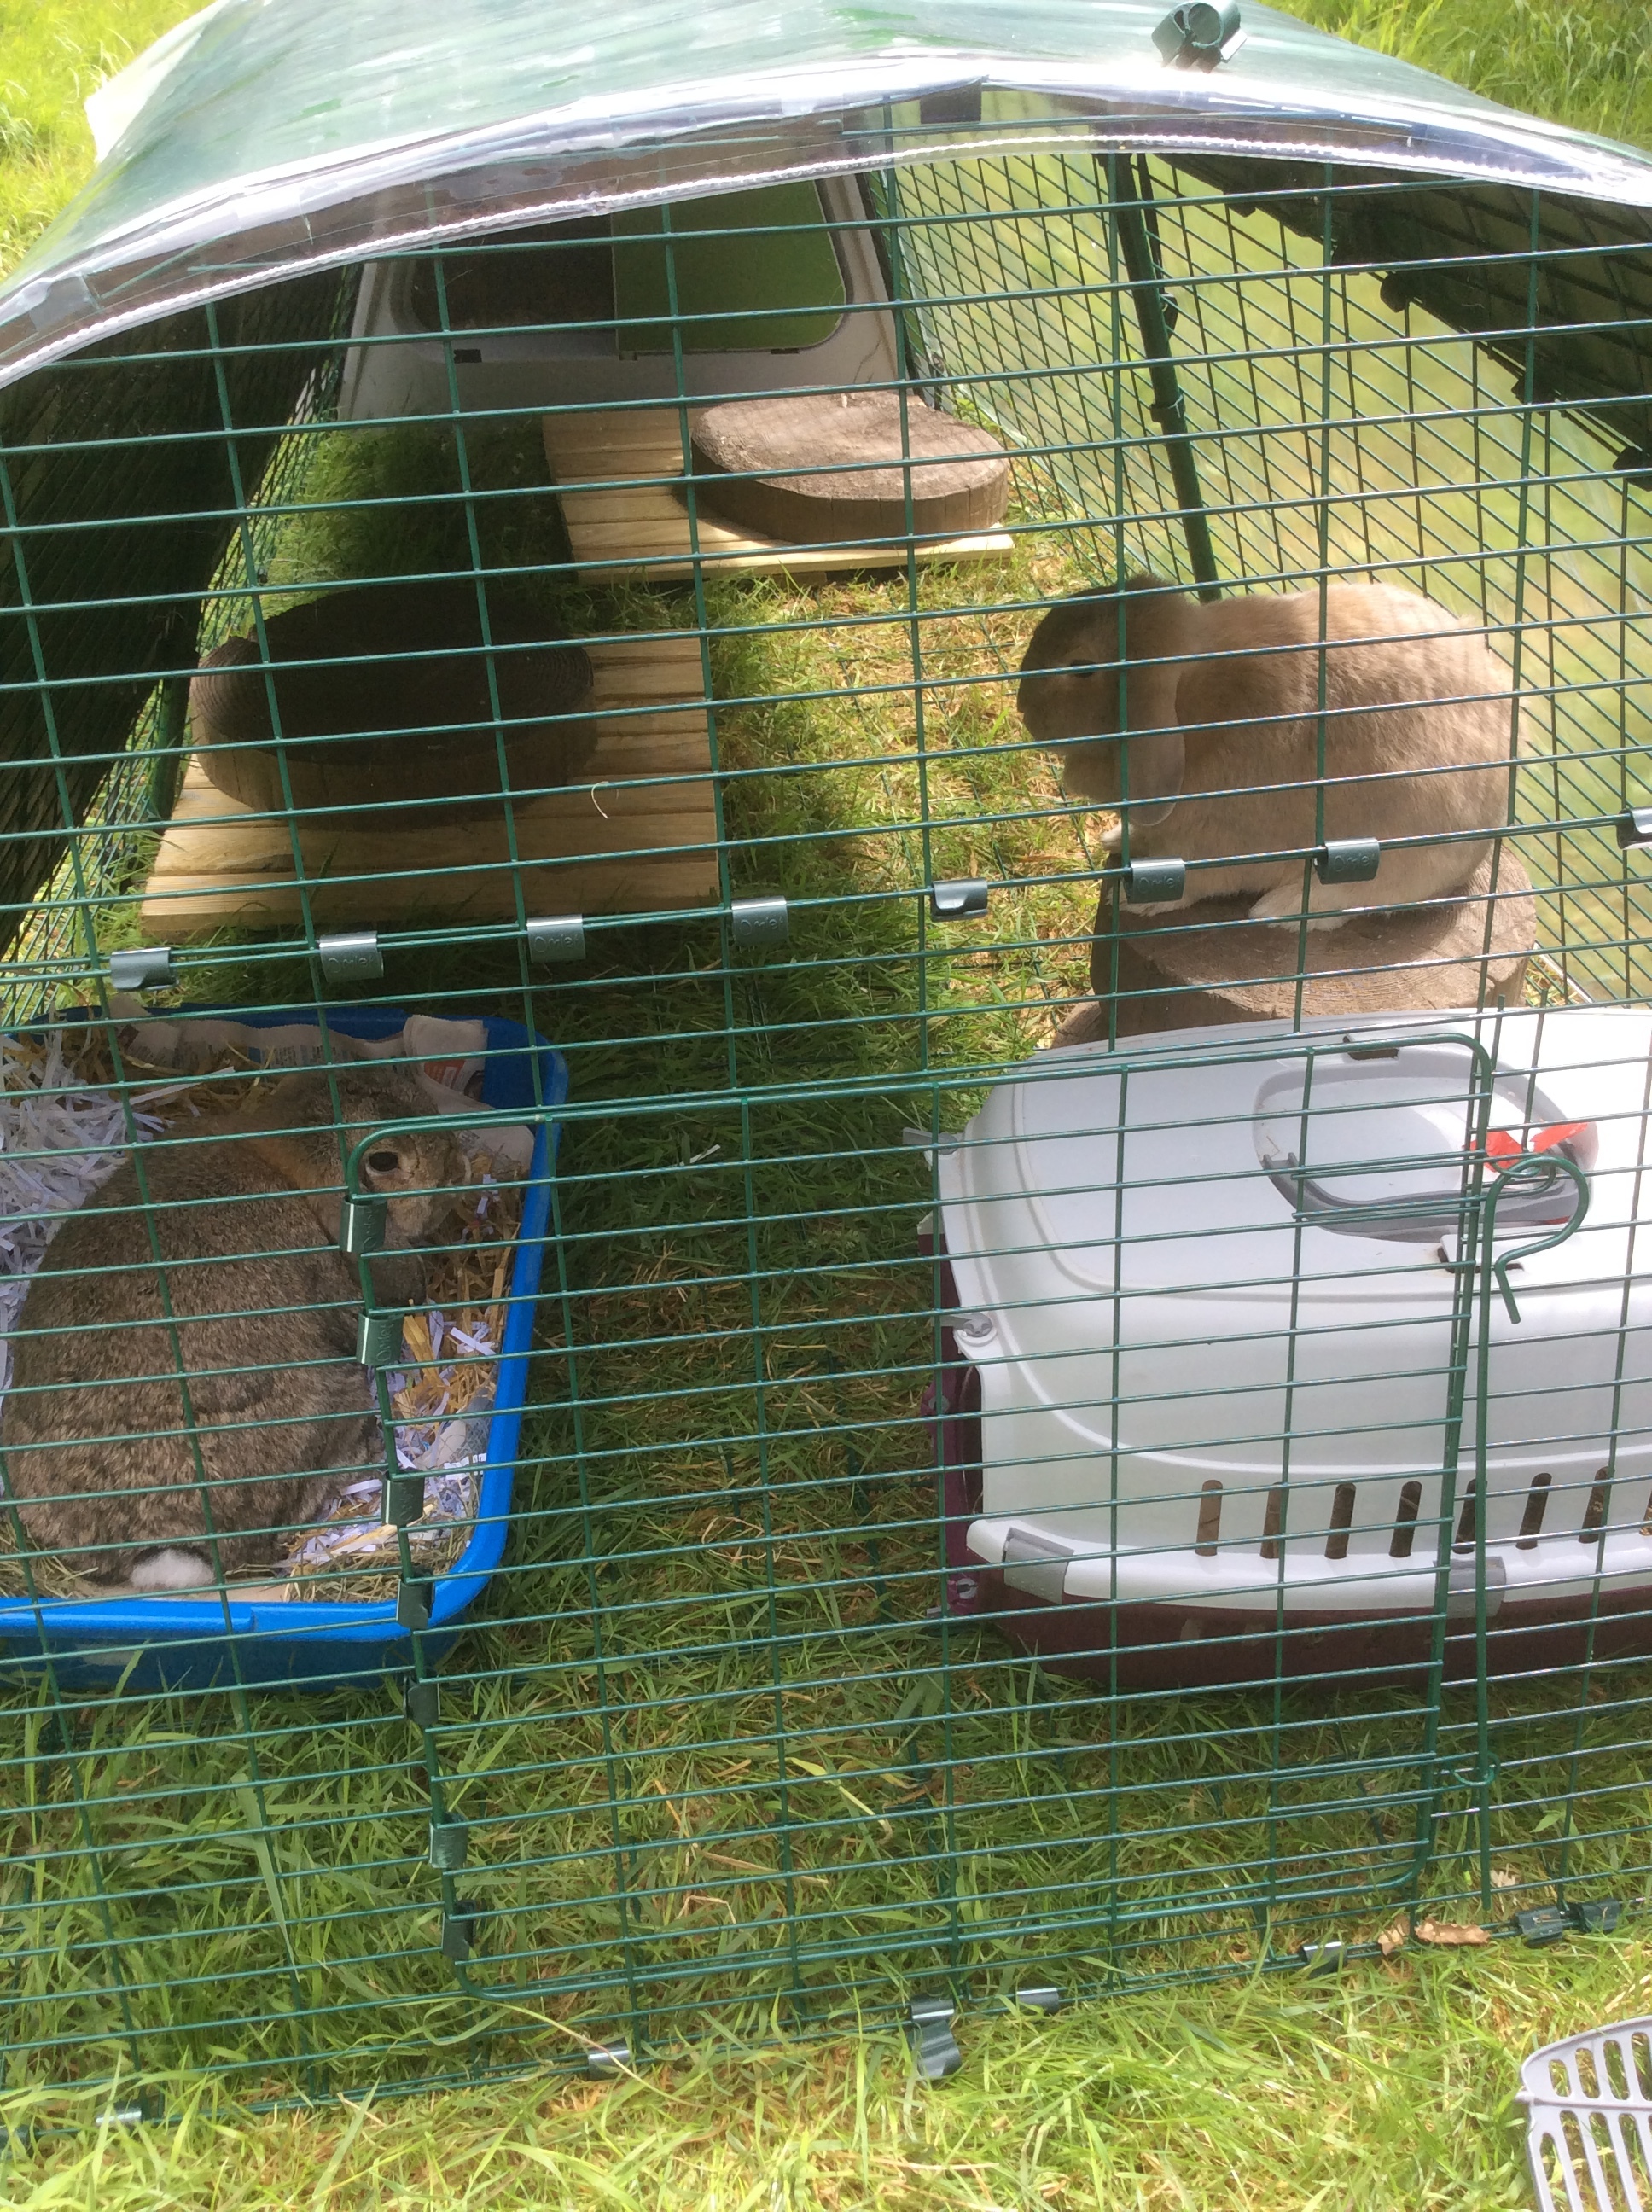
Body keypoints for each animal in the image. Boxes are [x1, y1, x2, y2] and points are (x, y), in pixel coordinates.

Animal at [1016, 574, 1514, 927]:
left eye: (1081, 668)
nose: (1022, 706)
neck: (1192, 704)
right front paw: (1117, 838)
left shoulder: (1217, 843)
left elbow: (1193, 881)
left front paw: (1132, 899)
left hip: (1395, 855)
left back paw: (1279, 908)